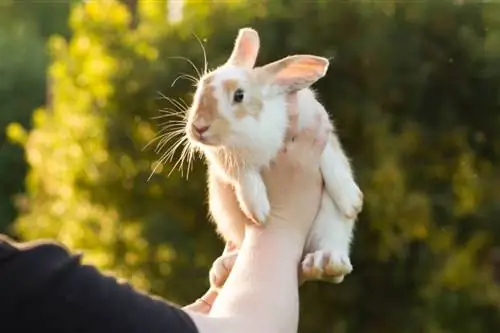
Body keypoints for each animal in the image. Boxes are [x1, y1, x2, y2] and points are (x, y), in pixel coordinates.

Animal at [184, 27, 364, 286]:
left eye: (239, 95)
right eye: (199, 88)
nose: (198, 127)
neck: (252, 132)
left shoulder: (319, 126)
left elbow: (330, 161)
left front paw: (352, 200)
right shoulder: (226, 162)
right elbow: (244, 177)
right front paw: (259, 211)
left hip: (331, 227)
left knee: (333, 259)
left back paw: (326, 261)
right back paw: (224, 267)